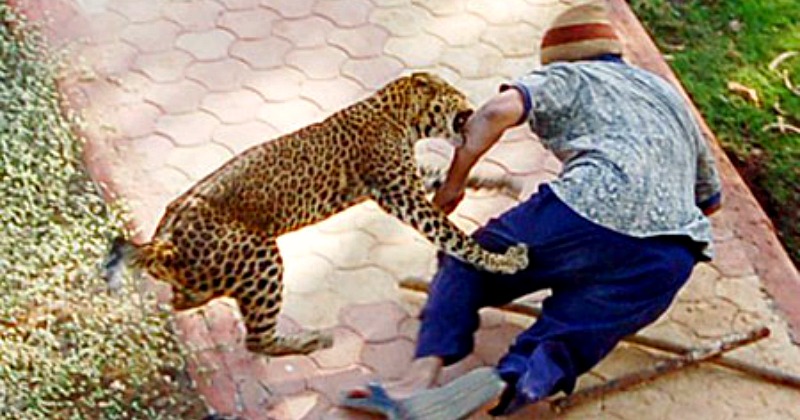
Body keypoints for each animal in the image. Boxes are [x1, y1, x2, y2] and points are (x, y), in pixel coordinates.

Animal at [104, 73, 532, 358]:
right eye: (456, 95)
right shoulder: (403, 196)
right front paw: (504, 261)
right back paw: (311, 340)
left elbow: (441, 174)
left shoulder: (405, 182)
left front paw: (499, 181)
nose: (473, 107)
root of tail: (162, 242)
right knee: (255, 339)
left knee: (184, 299)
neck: (399, 116)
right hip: (260, 258)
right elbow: (456, 237)